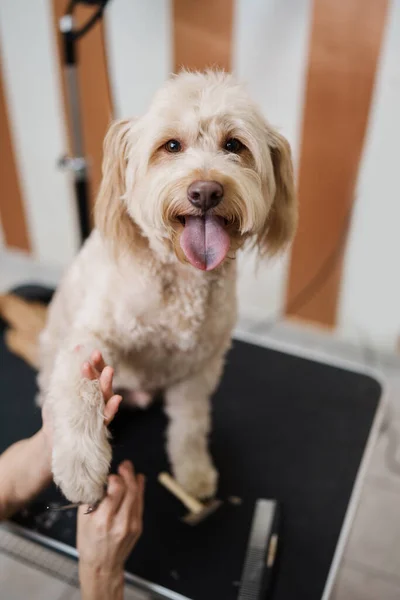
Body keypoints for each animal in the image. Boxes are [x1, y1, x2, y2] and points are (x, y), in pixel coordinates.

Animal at [37, 70, 296, 506]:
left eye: (234, 145)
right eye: (171, 146)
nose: (205, 191)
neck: (182, 277)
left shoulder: (198, 368)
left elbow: (189, 427)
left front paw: (193, 475)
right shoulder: (91, 337)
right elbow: (80, 388)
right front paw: (80, 467)